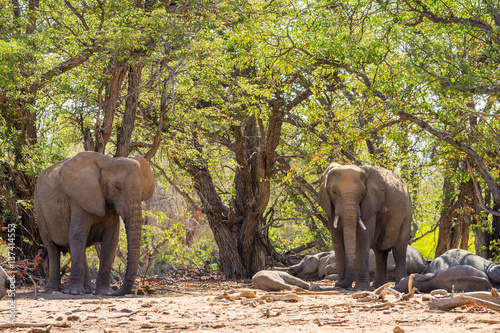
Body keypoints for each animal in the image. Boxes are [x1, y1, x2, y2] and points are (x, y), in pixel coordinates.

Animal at [34, 152, 153, 294]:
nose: (115, 291)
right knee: (52, 248)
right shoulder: (78, 199)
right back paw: (53, 289)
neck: (106, 164)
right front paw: (74, 293)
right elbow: (77, 235)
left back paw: (88, 290)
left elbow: (111, 240)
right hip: (39, 210)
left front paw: (104, 292)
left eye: (142, 188)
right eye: (117, 187)